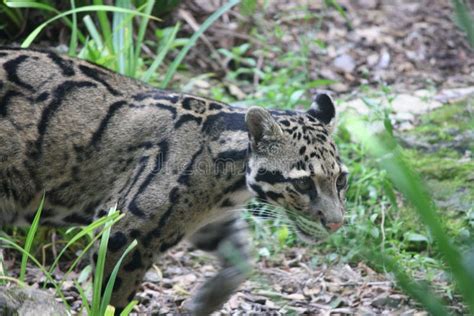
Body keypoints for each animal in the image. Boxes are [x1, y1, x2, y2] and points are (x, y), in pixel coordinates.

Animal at [0, 46, 348, 314]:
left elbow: (243, 261)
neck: (230, 188)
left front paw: (206, 301)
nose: (336, 224)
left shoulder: (213, 223)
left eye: (341, 180)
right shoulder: (126, 231)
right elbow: (111, 296)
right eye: (303, 183)